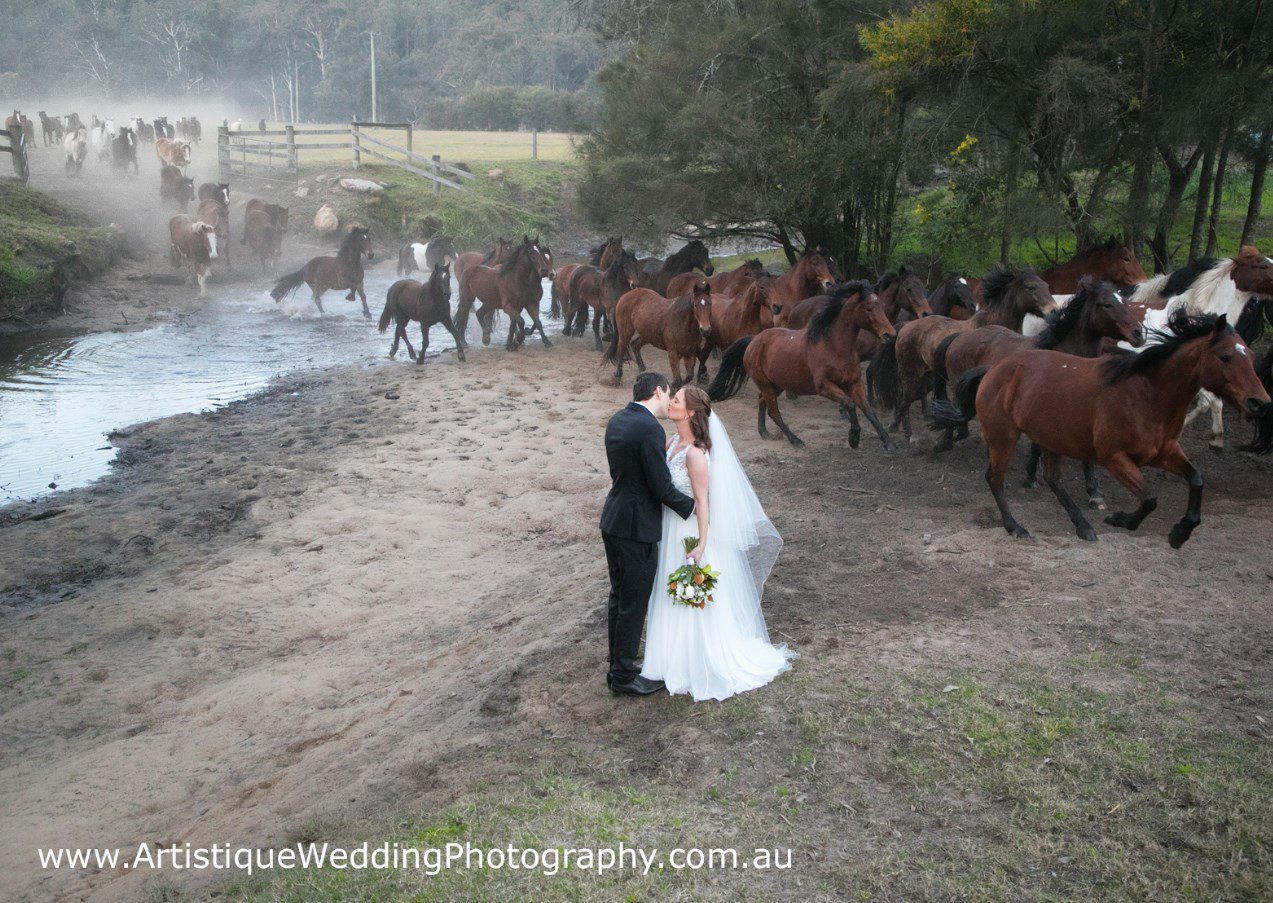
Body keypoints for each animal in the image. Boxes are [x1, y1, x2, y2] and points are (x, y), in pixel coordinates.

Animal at [707, 281, 896, 450]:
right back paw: (795, 440)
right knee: (773, 411)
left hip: (776, 384)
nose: (890, 335)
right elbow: (850, 405)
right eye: (869, 308)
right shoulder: (824, 387)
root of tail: (754, 341)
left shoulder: (855, 383)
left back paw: (764, 432)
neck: (833, 346)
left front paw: (888, 442)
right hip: (767, 384)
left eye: (882, 305)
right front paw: (854, 438)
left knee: (762, 400)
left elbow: (869, 411)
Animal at [870, 262, 1059, 443]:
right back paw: (906, 433)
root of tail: (905, 327)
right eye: (1031, 287)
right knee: (904, 400)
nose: (1054, 311)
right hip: (910, 372)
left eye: (1046, 285)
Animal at [931, 313, 1267, 545]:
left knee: (1053, 480)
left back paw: (1083, 525)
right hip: (1004, 437)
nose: (1259, 402)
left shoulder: (1165, 452)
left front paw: (1181, 533)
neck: (1147, 394)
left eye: (1251, 355)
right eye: (1225, 357)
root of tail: (994, 369)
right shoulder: (1113, 457)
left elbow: (1196, 479)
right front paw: (1121, 520)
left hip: (1051, 438)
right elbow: (1149, 497)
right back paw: (1016, 527)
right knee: (995, 479)